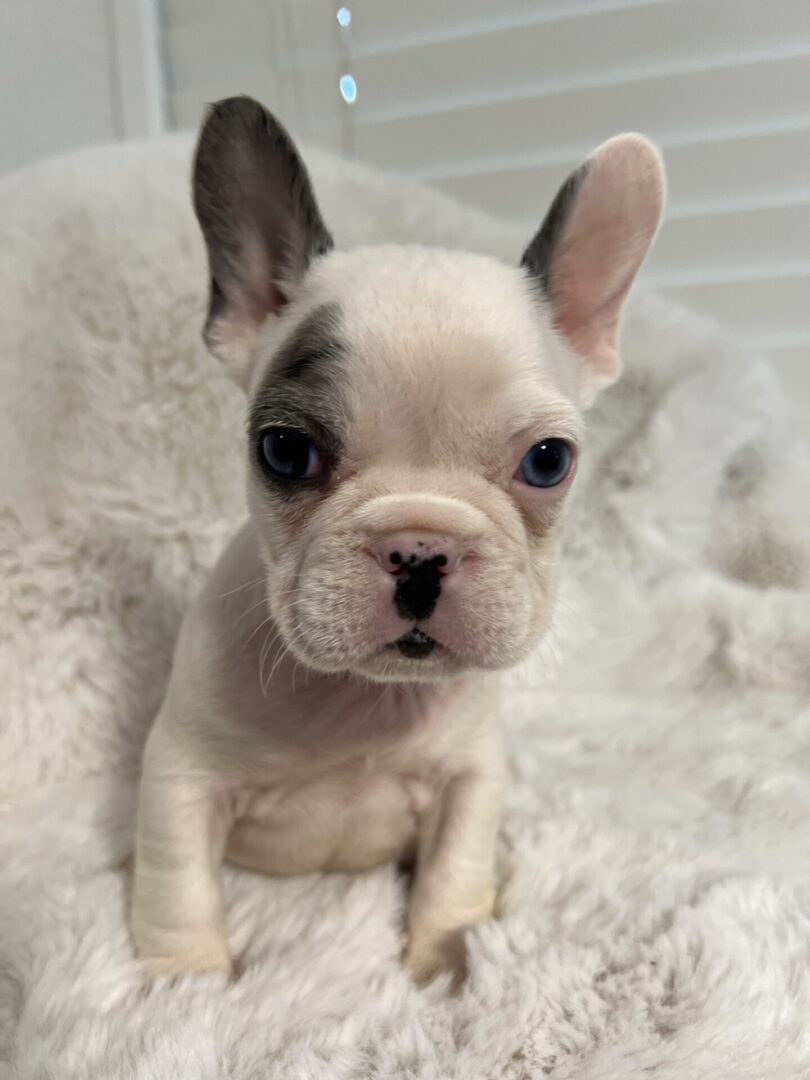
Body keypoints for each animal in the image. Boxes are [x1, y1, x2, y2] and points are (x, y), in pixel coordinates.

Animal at [133, 97, 665, 984]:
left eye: (548, 461)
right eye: (284, 451)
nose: (420, 547)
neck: (363, 697)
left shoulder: (469, 780)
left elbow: (454, 871)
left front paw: (445, 964)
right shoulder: (181, 778)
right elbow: (180, 887)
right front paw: (186, 985)